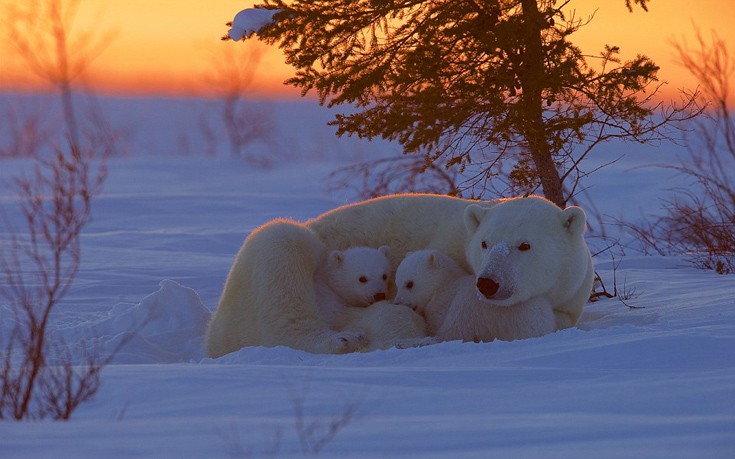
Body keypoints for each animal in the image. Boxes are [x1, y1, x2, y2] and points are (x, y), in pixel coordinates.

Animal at [394, 250, 556, 344]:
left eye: (409, 284)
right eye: (397, 282)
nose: (397, 303)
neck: (445, 284)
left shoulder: (444, 302)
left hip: (476, 306)